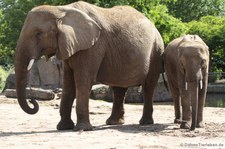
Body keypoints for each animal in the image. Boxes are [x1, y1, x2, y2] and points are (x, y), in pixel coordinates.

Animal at [14, 0, 164, 130]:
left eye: (38, 34)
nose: (33, 101)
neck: (61, 10)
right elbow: (68, 84)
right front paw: (63, 127)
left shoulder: (93, 46)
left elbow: (83, 81)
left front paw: (82, 129)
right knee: (118, 88)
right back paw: (113, 122)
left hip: (156, 51)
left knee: (148, 86)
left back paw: (144, 122)